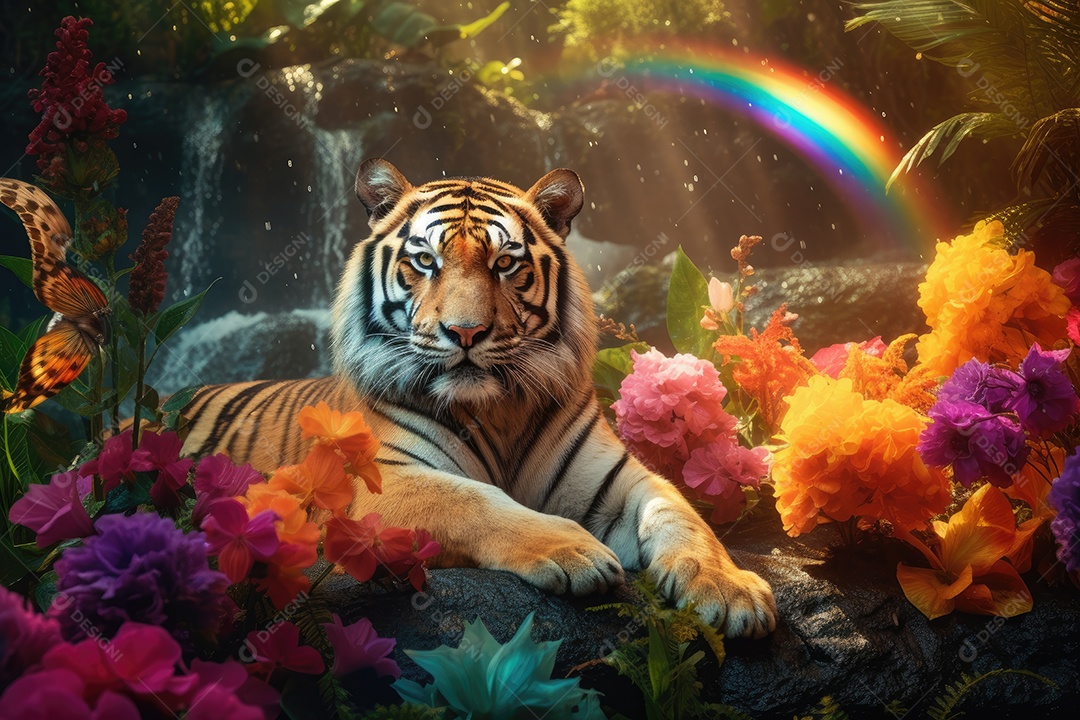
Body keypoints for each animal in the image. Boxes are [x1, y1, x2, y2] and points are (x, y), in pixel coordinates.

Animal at [181, 159, 777, 638]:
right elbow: (474, 500)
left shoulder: (620, 481)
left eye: (504, 263)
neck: (499, 408)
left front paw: (730, 589)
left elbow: (682, 516)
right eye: (426, 262)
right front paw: (576, 551)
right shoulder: (386, 485)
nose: (465, 332)